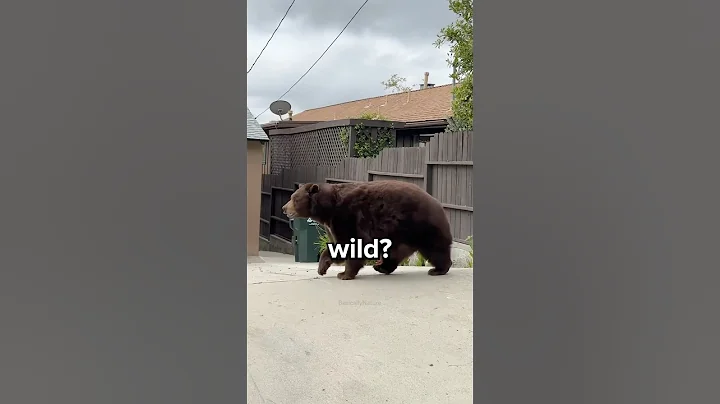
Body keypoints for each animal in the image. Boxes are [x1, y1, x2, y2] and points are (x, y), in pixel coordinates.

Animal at [281, 180, 453, 280]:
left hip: (420, 224)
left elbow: (351, 244)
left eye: (294, 198)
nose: (283, 208)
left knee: (435, 248)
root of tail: (437, 202)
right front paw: (323, 267)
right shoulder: (332, 225)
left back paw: (438, 269)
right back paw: (382, 267)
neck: (328, 209)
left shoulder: (347, 217)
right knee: (395, 252)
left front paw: (343, 274)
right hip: (399, 234)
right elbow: (337, 245)